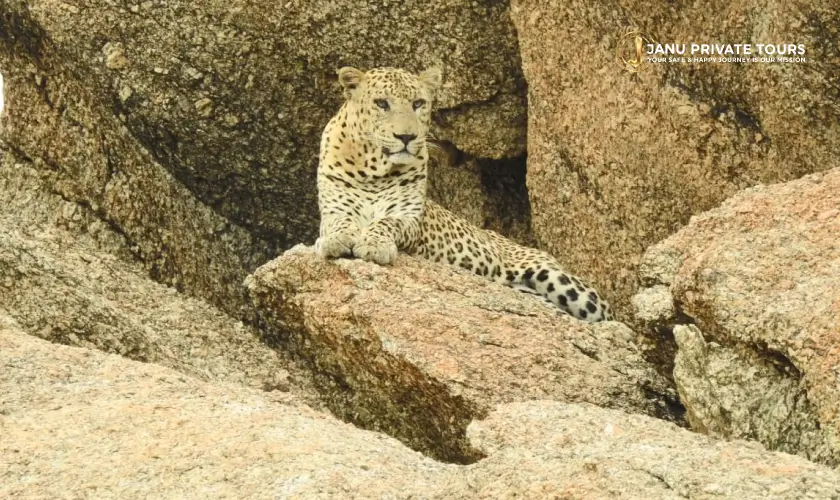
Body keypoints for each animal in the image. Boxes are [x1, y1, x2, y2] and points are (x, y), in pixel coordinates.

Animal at [315, 66, 613, 322]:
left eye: (418, 104)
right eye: (381, 103)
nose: (407, 137)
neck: (373, 171)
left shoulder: (409, 218)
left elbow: (387, 222)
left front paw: (374, 245)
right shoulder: (333, 210)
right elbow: (340, 222)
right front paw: (336, 240)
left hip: (561, 280)